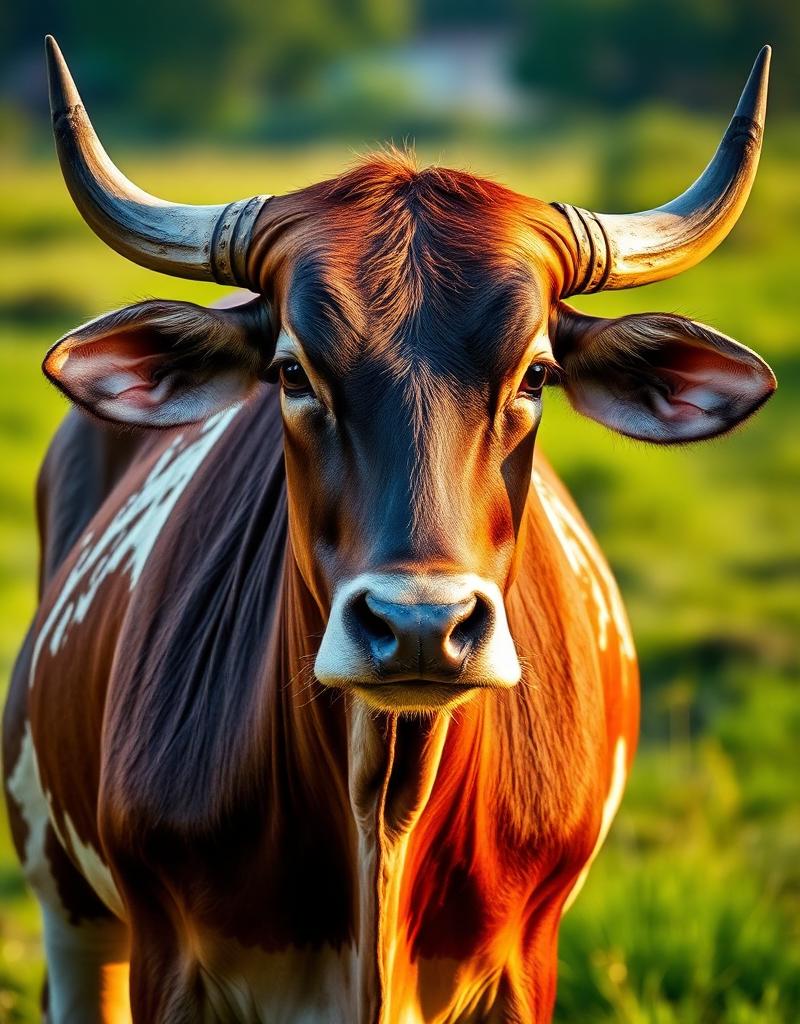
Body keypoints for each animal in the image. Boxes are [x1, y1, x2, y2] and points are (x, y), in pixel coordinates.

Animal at [3, 36, 775, 1024]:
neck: (384, 813)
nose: (419, 626)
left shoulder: (525, 965)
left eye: (535, 374)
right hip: (69, 906)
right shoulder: (167, 956)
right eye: (293, 371)